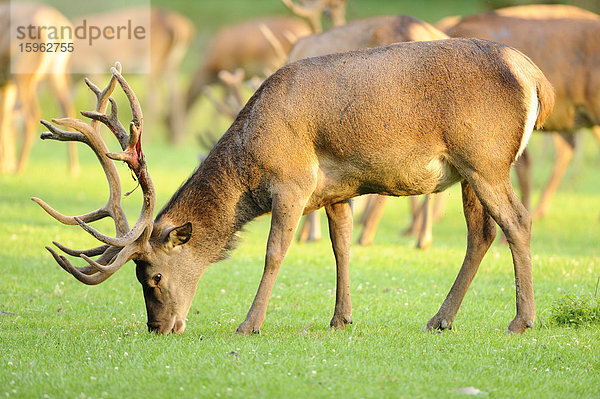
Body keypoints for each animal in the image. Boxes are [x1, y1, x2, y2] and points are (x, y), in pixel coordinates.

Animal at [0, 2, 78, 175]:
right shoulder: (5, 84)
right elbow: (4, 118)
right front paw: (5, 164)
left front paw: (5, 166)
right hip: (55, 72)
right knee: (68, 110)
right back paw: (73, 169)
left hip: (22, 72)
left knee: (31, 114)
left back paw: (19, 167)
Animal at [36, 38, 552, 338]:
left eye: (153, 277)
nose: (158, 328)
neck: (249, 168)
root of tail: (534, 76)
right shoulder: (337, 191)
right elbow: (341, 247)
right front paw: (341, 318)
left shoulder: (292, 182)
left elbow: (274, 252)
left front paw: (249, 324)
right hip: (470, 169)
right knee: (481, 234)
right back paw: (440, 318)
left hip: (484, 157)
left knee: (518, 222)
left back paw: (520, 320)